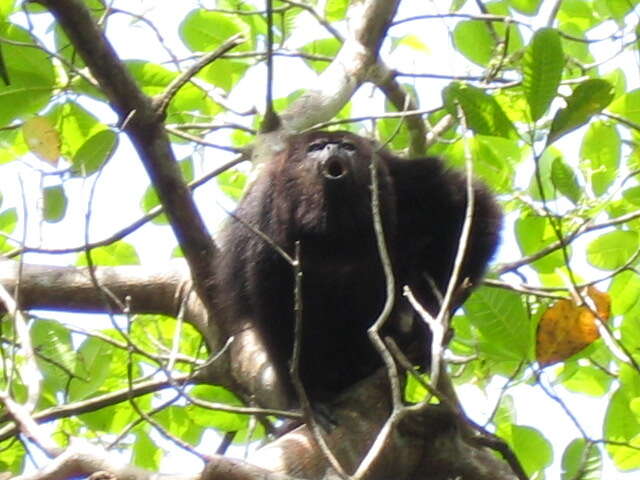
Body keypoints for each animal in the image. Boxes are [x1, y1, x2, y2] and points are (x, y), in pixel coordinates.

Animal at [218, 131, 502, 408]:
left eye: (348, 146)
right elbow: (273, 303)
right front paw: (311, 393)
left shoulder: (409, 181)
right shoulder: (263, 218)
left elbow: (474, 206)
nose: (333, 148)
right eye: (316, 147)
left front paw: (430, 315)